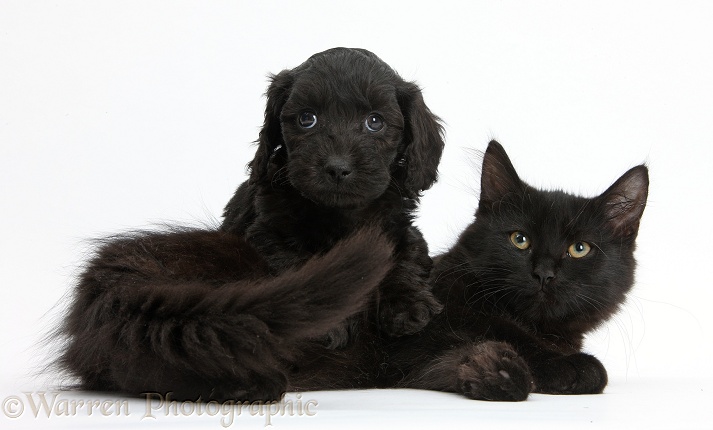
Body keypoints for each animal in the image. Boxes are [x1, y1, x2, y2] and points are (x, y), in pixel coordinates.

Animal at [224, 47, 444, 342]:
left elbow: (405, 258)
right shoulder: (267, 234)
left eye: (375, 121)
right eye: (307, 119)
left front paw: (408, 306)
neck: (340, 214)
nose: (337, 167)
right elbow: (301, 267)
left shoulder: (401, 230)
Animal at [386, 140, 648, 400]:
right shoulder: (431, 319)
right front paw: (565, 366)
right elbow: (498, 328)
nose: (544, 274)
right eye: (519, 239)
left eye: (579, 249)